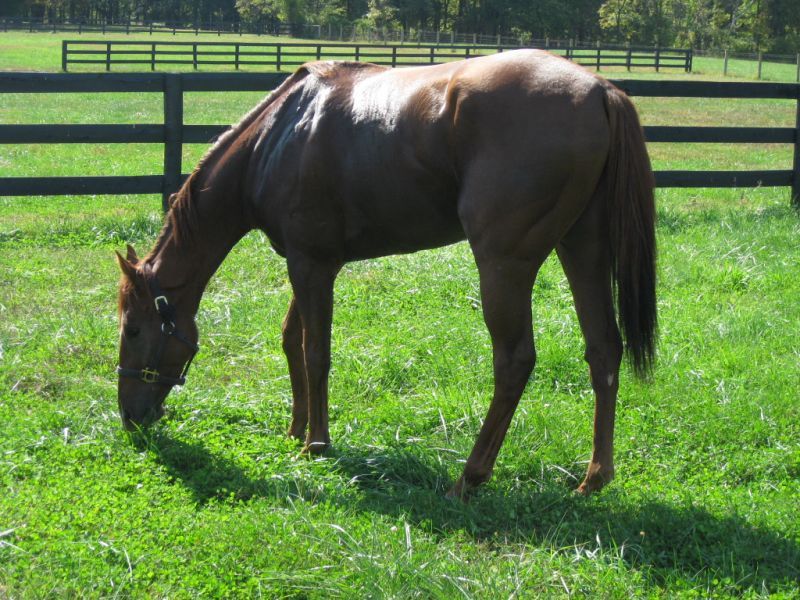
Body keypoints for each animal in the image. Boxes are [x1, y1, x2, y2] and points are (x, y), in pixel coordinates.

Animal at [115, 49, 657, 498]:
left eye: (133, 328)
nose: (129, 418)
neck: (278, 138)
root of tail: (598, 90)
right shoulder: (307, 262)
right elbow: (292, 340)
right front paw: (295, 430)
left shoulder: (311, 265)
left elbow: (315, 353)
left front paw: (316, 443)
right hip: (582, 249)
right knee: (603, 350)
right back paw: (593, 478)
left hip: (504, 265)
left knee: (514, 361)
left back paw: (470, 476)